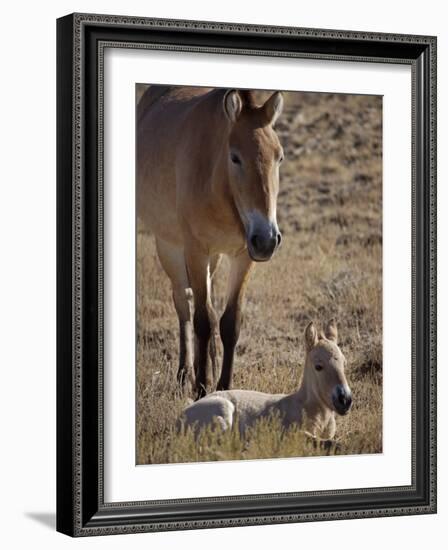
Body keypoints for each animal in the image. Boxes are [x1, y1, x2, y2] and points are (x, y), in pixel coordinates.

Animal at [137, 85, 284, 396]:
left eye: (279, 157)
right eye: (235, 157)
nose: (267, 239)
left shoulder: (242, 256)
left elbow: (229, 322)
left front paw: (223, 384)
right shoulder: (195, 250)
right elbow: (202, 320)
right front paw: (202, 388)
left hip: (214, 258)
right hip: (169, 247)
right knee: (184, 303)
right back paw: (185, 373)